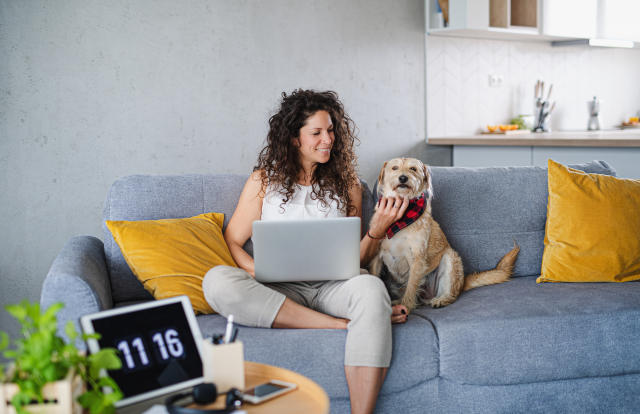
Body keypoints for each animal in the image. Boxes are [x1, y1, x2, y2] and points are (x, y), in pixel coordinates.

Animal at [364, 158, 520, 310]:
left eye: (413, 169)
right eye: (394, 168)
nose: (403, 178)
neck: (401, 218)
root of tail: (462, 283)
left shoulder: (417, 258)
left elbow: (412, 286)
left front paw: (406, 306)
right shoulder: (376, 256)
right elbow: (374, 276)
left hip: (450, 258)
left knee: (449, 293)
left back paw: (441, 299)